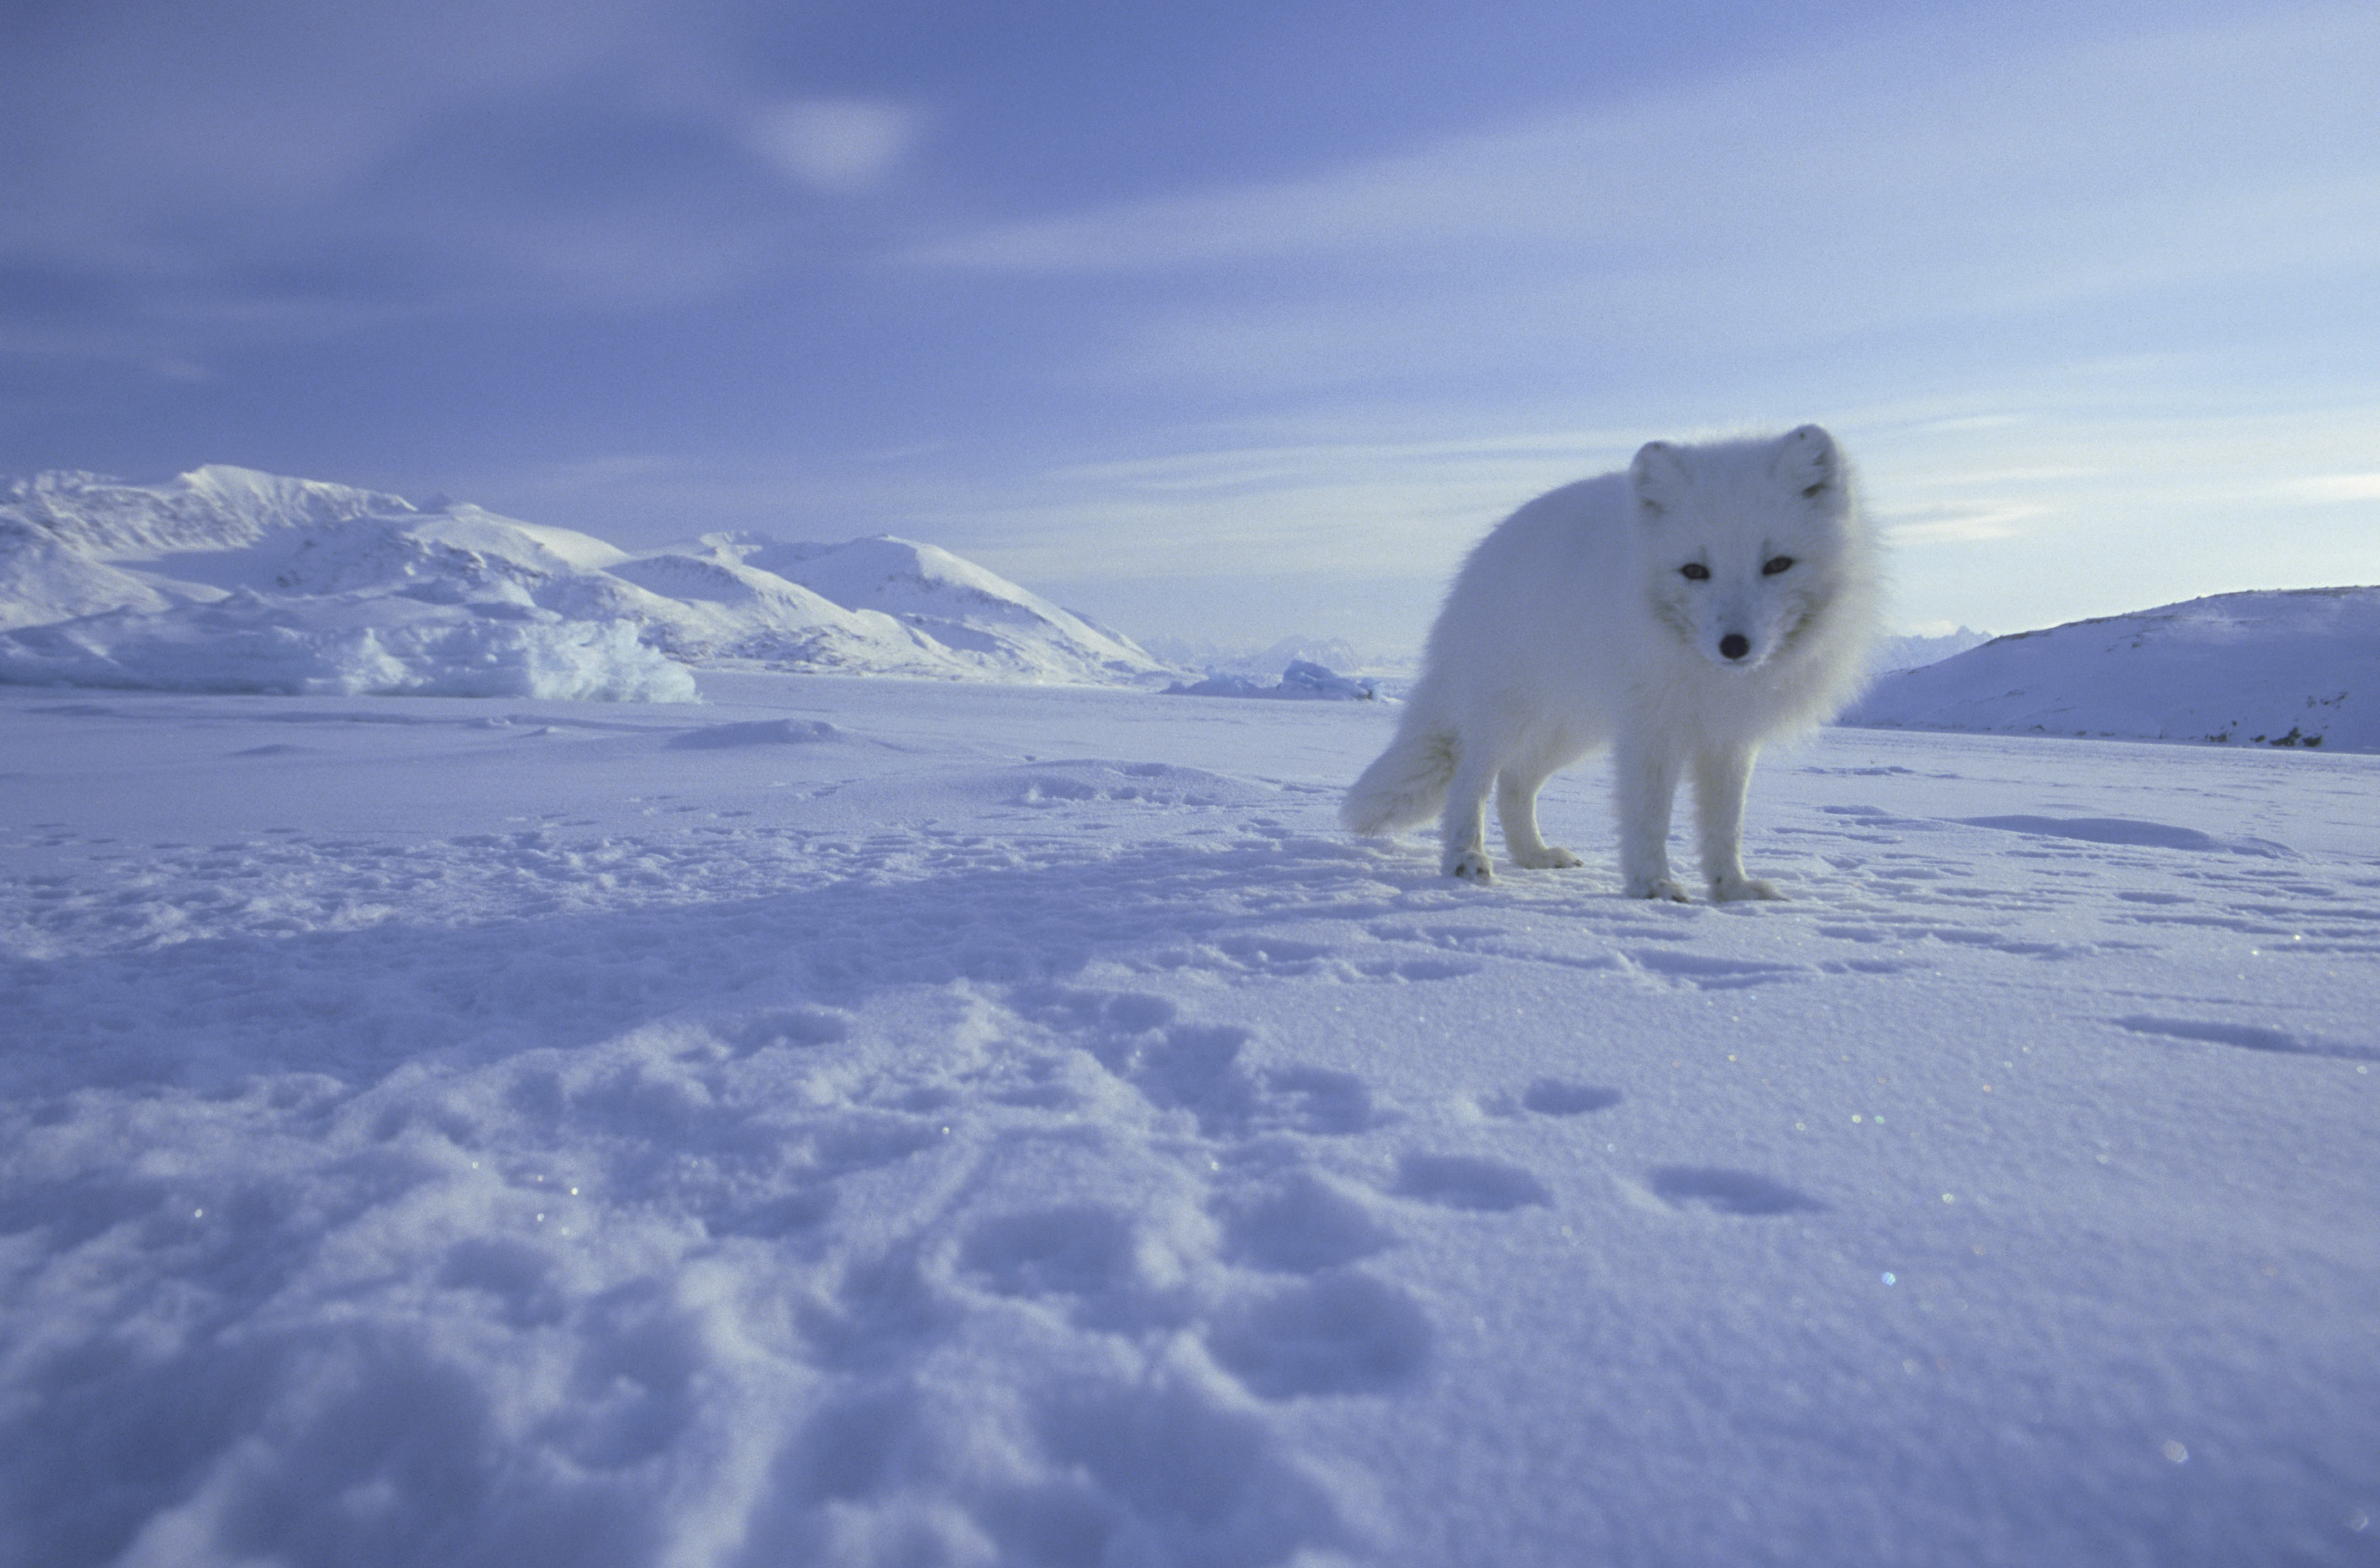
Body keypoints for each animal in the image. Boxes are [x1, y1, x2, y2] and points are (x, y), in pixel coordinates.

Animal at [1342, 425, 1882, 900]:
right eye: (1694, 570)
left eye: (1778, 565)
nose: (1734, 645)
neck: (1706, 672)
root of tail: (1482, 555)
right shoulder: (1651, 730)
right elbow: (1649, 818)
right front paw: (1653, 885)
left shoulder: (1728, 738)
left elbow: (1724, 825)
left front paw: (1732, 889)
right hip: (1509, 714)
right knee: (1471, 780)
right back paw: (1465, 859)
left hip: (1572, 729)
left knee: (1515, 782)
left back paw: (1533, 855)